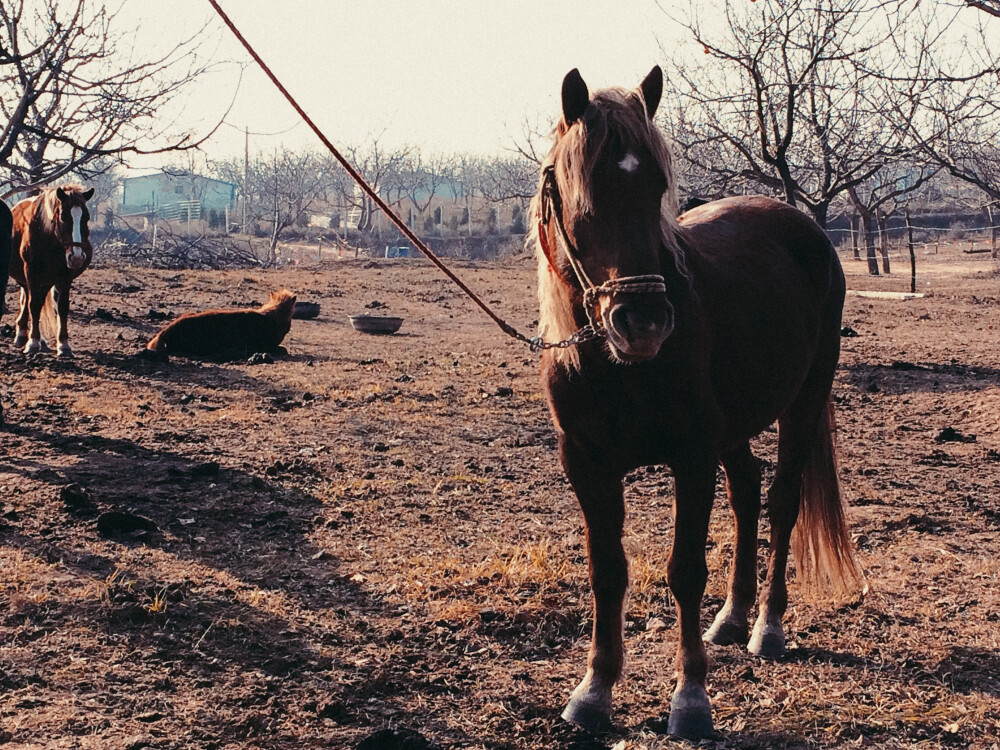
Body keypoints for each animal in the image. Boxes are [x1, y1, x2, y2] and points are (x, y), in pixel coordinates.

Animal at [8, 184, 94, 356]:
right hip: (29, 279)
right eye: (63, 217)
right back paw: (23, 335)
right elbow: (33, 305)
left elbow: (62, 307)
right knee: (28, 300)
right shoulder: (31, 273)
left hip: (46, 281)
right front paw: (33, 342)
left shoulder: (64, 277)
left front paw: (64, 344)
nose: (76, 257)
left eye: (86, 218)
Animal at [532, 67, 860, 744]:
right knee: (747, 489)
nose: (644, 322)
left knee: (781, 501)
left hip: (803, 401)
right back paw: (732, 619)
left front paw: (689, 699)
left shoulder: (691, 457)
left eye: (657, 185)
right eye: (583, 192)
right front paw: (594, 691)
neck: (612, 365)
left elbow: (683, 571)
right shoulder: (587, 465)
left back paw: (766, 627)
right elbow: (608, 571)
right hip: (732, 429)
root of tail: (806, 229)